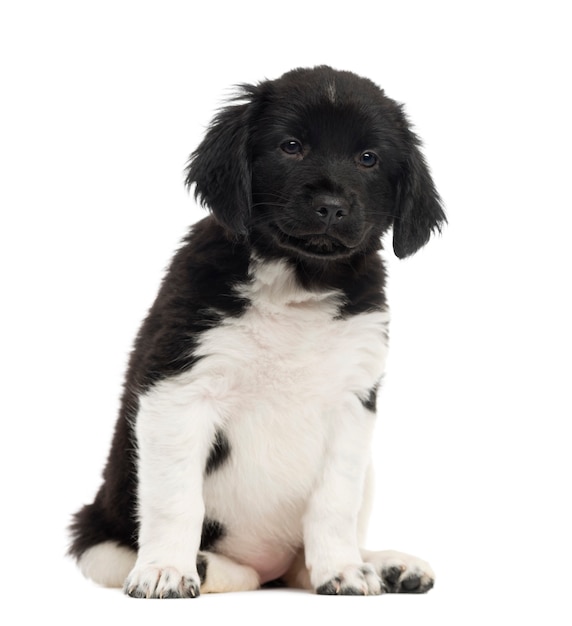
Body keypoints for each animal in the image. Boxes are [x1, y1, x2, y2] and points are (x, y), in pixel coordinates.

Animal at [69, 64, 446, 596]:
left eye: (368, 159)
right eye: (291, 146)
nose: (332, 206)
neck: (297, 284)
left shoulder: (353, 403)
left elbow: (335, 502)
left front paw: (343, 569)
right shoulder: (179, 388)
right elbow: (176, 499)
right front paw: (167, 568)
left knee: (303, 562)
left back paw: (385, 564)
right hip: (98, 536)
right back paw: (204, 565)